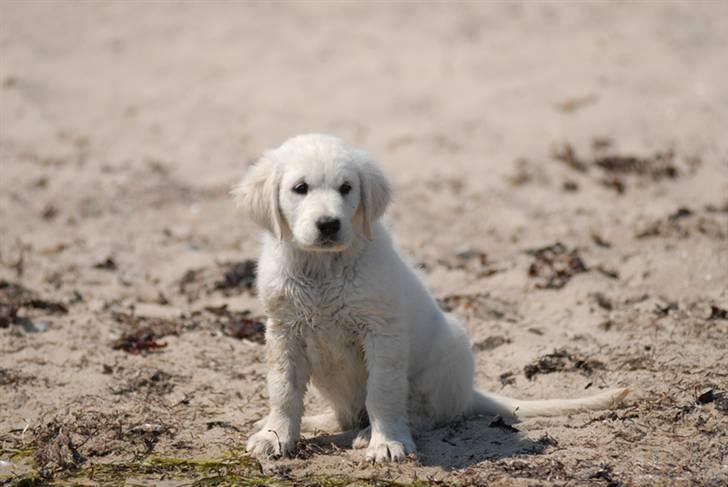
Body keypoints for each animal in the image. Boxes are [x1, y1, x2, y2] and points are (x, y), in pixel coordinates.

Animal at [236, 135, 628, 464]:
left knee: (421, 415)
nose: (329, 224)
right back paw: (321, 422)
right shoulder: (283, 331)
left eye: (346, 188)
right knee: (345, 413)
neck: (322, 269)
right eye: (299, 189)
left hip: (446, 356)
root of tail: (468, 392)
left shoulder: (382, 333)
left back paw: (367, 434)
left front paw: (387, 443)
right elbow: (284, 389)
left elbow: (382, 391)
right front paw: (275, 435)